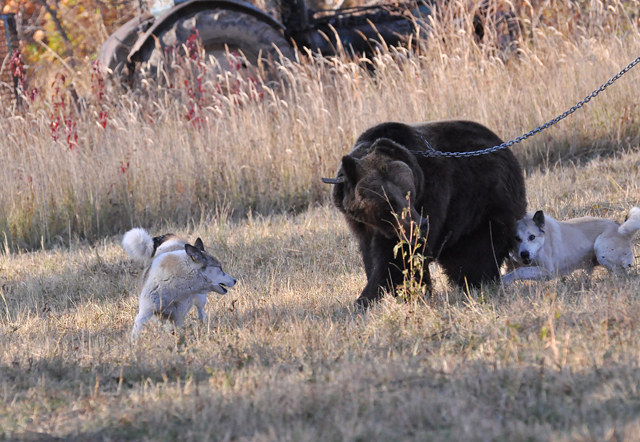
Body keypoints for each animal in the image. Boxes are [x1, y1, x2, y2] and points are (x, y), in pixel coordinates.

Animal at [324, 121, 524, 308]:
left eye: (409, 192)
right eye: (388, 201)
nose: (420, 224)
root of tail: (504, 147)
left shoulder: (431, 195)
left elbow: (399, 256)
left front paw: (369, 298)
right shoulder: (362, 225)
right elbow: (373, 256)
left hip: (484, 201)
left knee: (478, 252)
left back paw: (478, 282)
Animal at [502, 208, 640, 286]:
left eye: (532, 237)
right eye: (516, 238)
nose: (524, 254)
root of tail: (621, 230)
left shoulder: (548, 271)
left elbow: (519, 271)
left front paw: (505, 281)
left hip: (601, 249)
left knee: (621, 274)